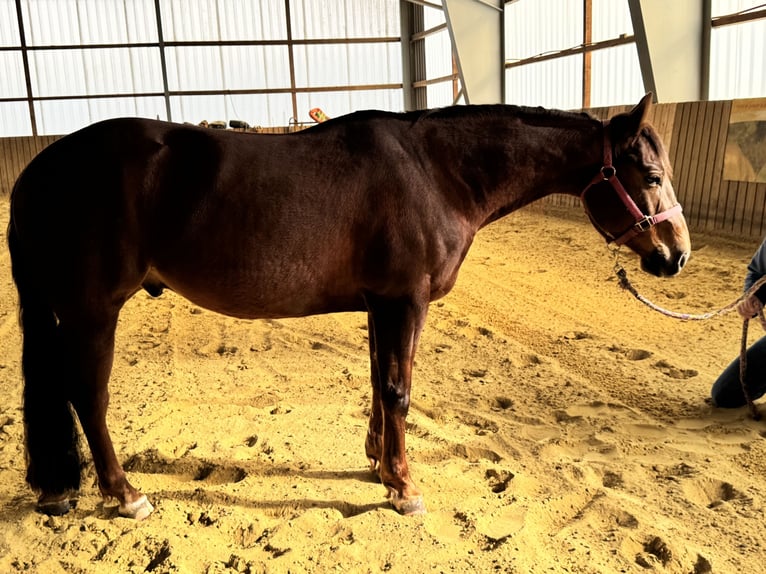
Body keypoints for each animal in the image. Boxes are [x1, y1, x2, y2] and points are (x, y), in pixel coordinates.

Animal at [7, 93, 690, 520]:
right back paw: (125, 495)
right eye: (651, 177)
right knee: (87, 395)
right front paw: (405, 487)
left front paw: (380, 465)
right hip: (94, 311)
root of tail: (39, 171)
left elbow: (378, 382)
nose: (677, 255)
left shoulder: (379, 304)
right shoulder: (404, 300)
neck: (435, 172)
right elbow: (399, 391)